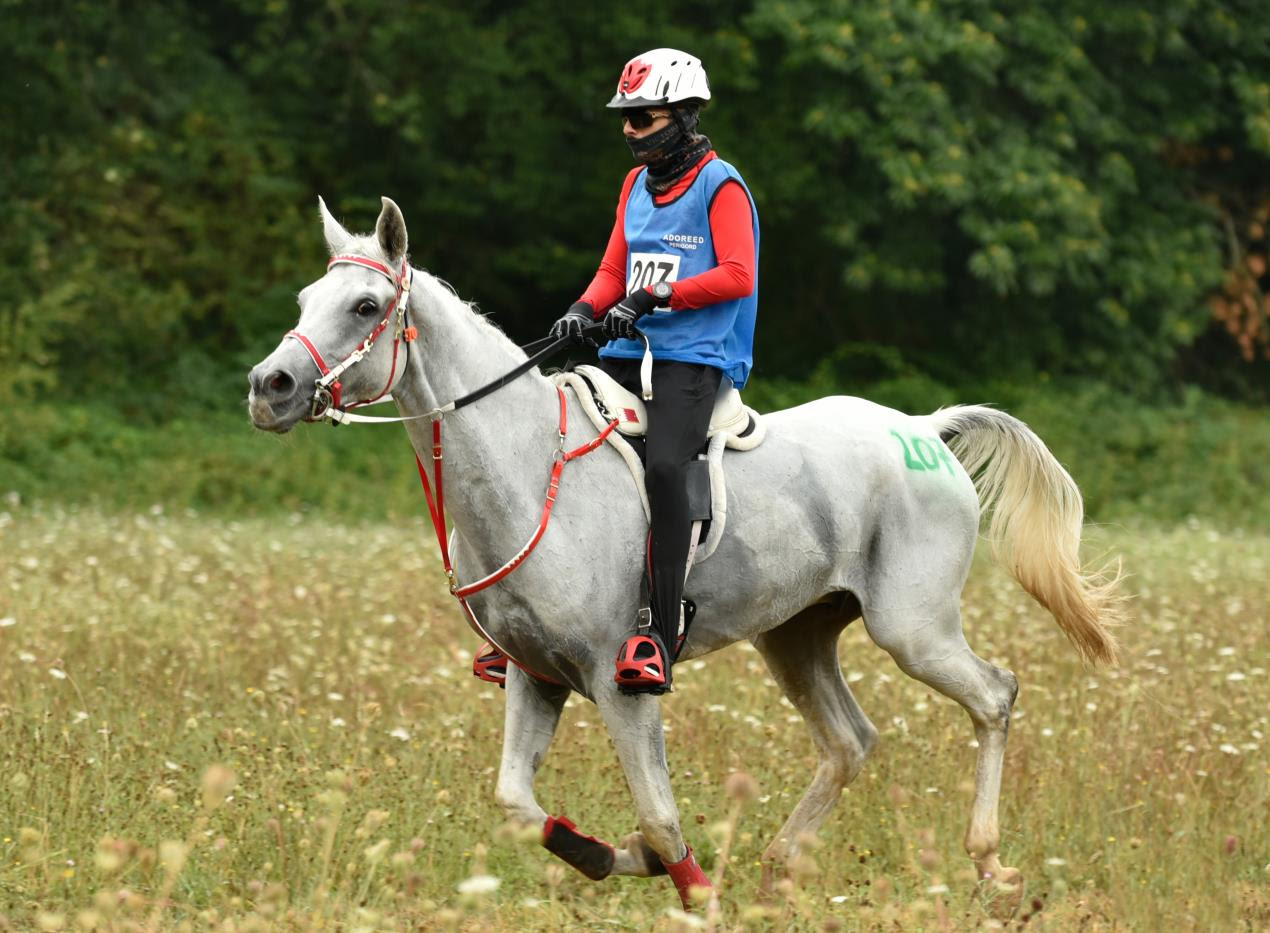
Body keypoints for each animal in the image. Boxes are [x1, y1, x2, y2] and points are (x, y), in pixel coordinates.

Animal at [247, 199, 1122, 913]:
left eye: (365, 305)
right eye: (304, 302)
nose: (269, 385)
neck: (528, 468)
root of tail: (924, 428)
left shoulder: (619, 682)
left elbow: (661, 817)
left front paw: (692, 886)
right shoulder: (535, 674)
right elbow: (518, 805)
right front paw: (608, 853)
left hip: (914, 627)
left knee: (994, 695)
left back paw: (990, 864)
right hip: (796, 635)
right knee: (851, 739)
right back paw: (779, 863)